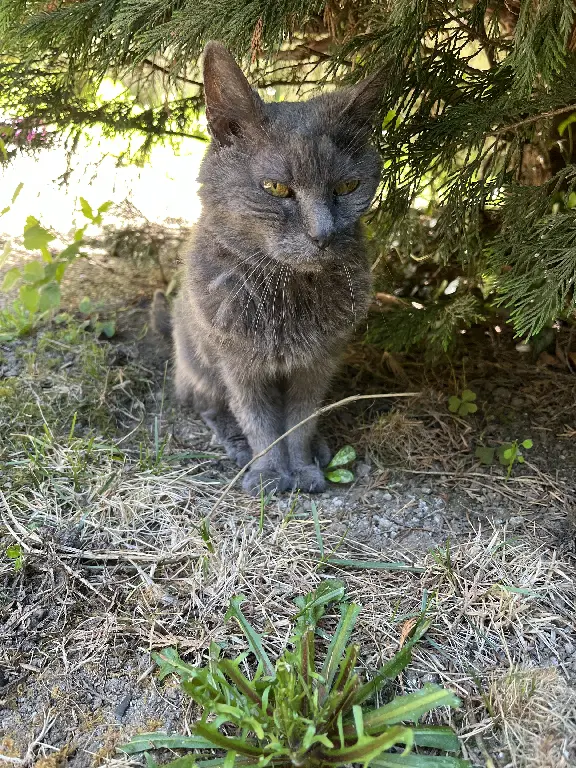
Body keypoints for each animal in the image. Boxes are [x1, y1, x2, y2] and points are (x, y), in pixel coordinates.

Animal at [153, 43, 380, 498]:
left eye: (348, 187)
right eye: (275, 188)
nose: (323, 233)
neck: (288, 291)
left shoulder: (320, 361)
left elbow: (300, 421)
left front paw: (304, 468)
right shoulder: (237, 361)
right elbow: (259, 420)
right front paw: (270, 474)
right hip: (196, 359)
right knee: (204, 403)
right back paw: (237, 446)